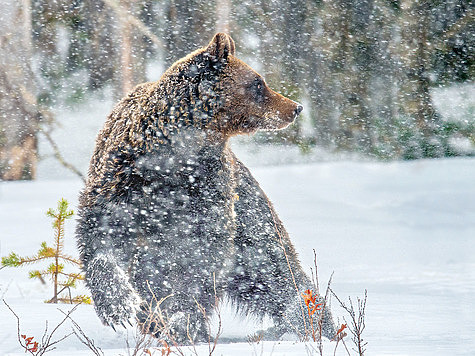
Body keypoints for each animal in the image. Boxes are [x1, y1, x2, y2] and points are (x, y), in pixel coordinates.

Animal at [76, 32, 336, 342]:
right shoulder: (124, 184)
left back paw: (309, 322)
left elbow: (199, 262)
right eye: (257, 82)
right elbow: (100, 240)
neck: (175, 157)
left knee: (276, 271)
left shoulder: (206, 195)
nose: (295, 107)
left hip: (250, 220)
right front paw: (121, 307)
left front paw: (179, 320)